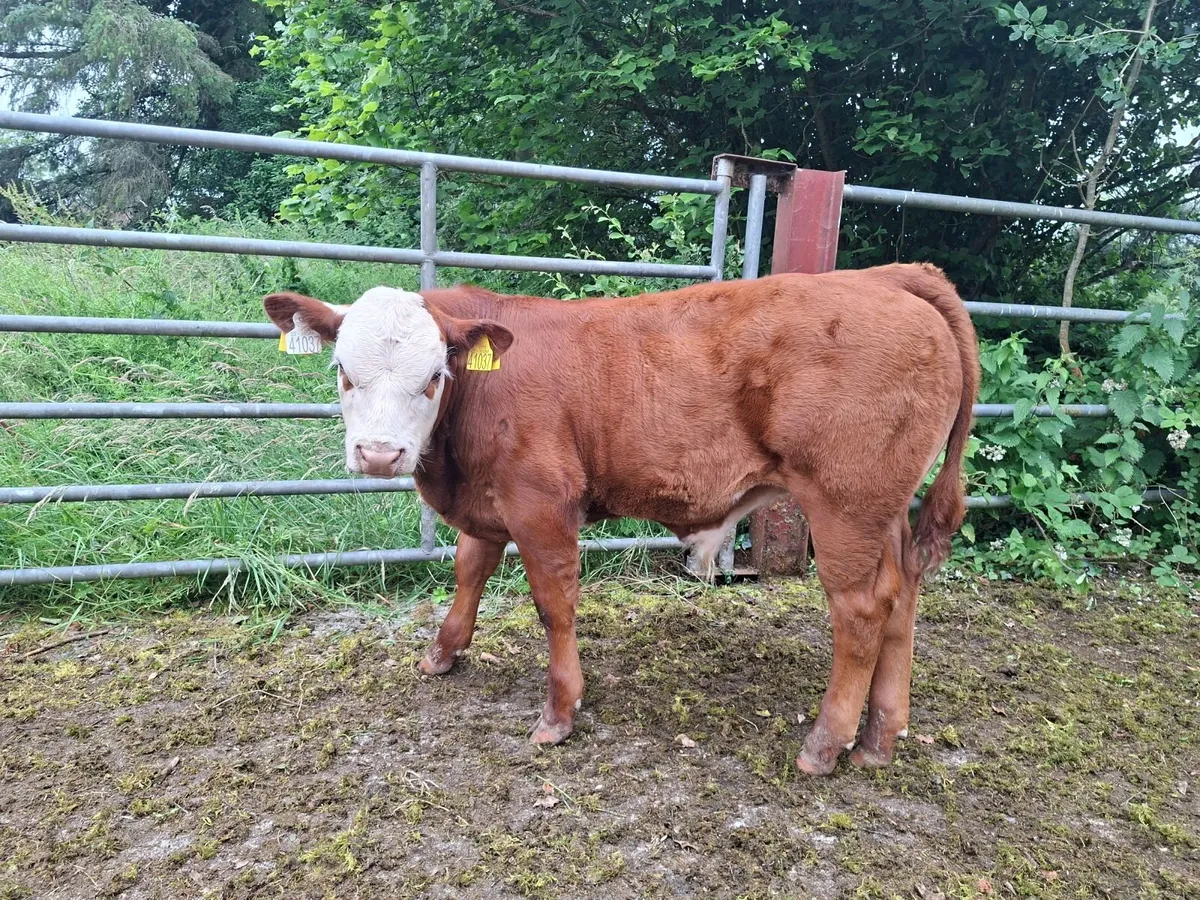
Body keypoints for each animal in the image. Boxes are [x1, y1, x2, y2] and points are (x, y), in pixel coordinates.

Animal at [263, 262, 980, 775]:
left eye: (435, 375)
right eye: (342, 370)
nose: (380, 454)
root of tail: (883, 277)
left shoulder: (540, 502)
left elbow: (553, 603)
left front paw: (559, 712)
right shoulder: (488, 502)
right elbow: (469, 570)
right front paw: (442, 654)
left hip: (843, 503)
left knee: (861, 610)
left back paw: (827, 744)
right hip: (885, 509)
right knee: (903, 594)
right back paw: (881, 736)